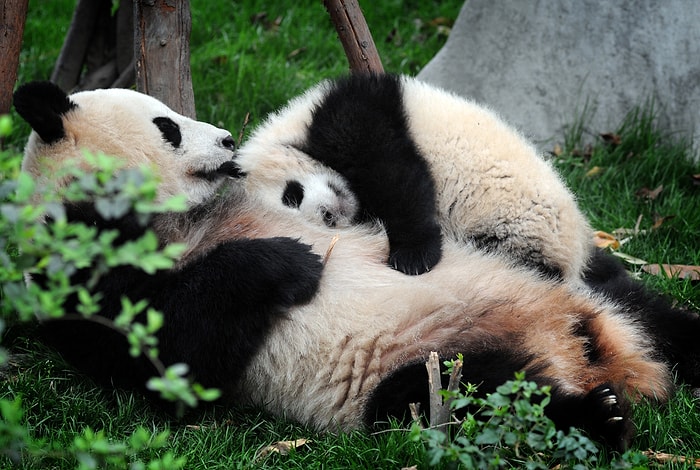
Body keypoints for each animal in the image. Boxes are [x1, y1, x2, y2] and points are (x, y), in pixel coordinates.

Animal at [234, 71, 592, 280]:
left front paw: (413, 257)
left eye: (291, 195)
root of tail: (574, 256)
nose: (328, 215)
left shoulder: (351, 115)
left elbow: (397, 178)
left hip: (525, 222)